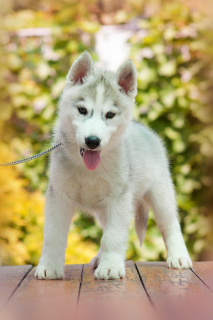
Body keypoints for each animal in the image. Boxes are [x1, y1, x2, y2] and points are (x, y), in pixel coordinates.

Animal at [35, 51, 193, 278]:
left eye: (110, 115)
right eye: (82, 110)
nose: (93, 141)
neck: (88, 169)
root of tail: (145, 130)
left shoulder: (119, 198)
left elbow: (114, 236)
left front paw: (110, 268)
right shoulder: (58, 195)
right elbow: (53, 235)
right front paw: (49, 267)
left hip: (160, 194)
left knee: (170, 225)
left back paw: (179, 257)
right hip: (104, 209)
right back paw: (99, 258)